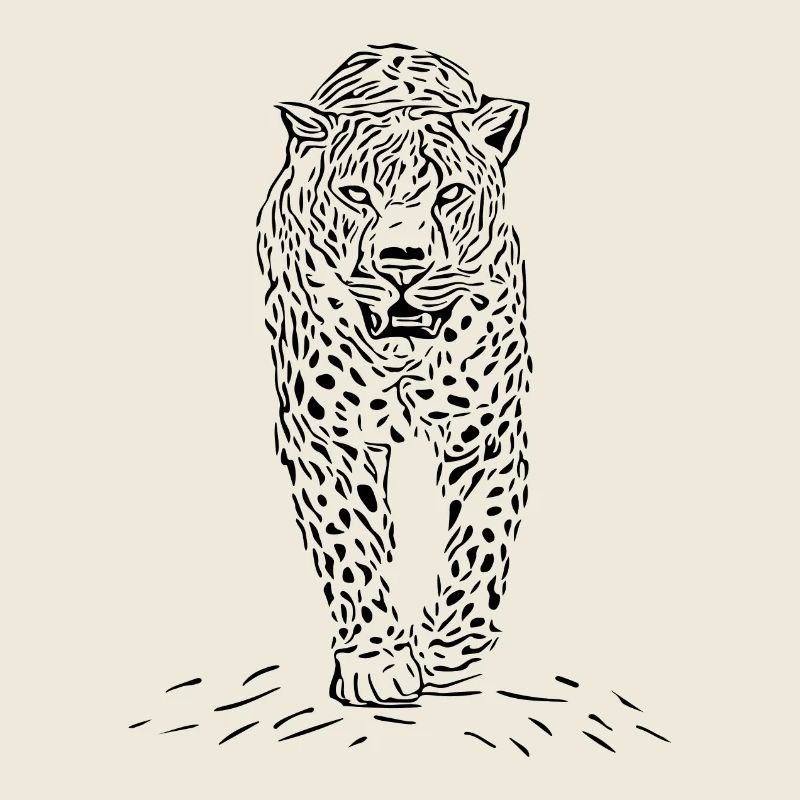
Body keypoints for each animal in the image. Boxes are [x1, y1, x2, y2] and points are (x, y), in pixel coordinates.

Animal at [256, 43, 531, 707]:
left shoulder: (487, 432)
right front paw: (378, 661)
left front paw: (450, 653)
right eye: (357, 194)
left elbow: (480, 541)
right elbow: (350, 545)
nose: (401, 262)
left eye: (451, 193)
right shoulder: (327, 438)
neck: (403, 352)